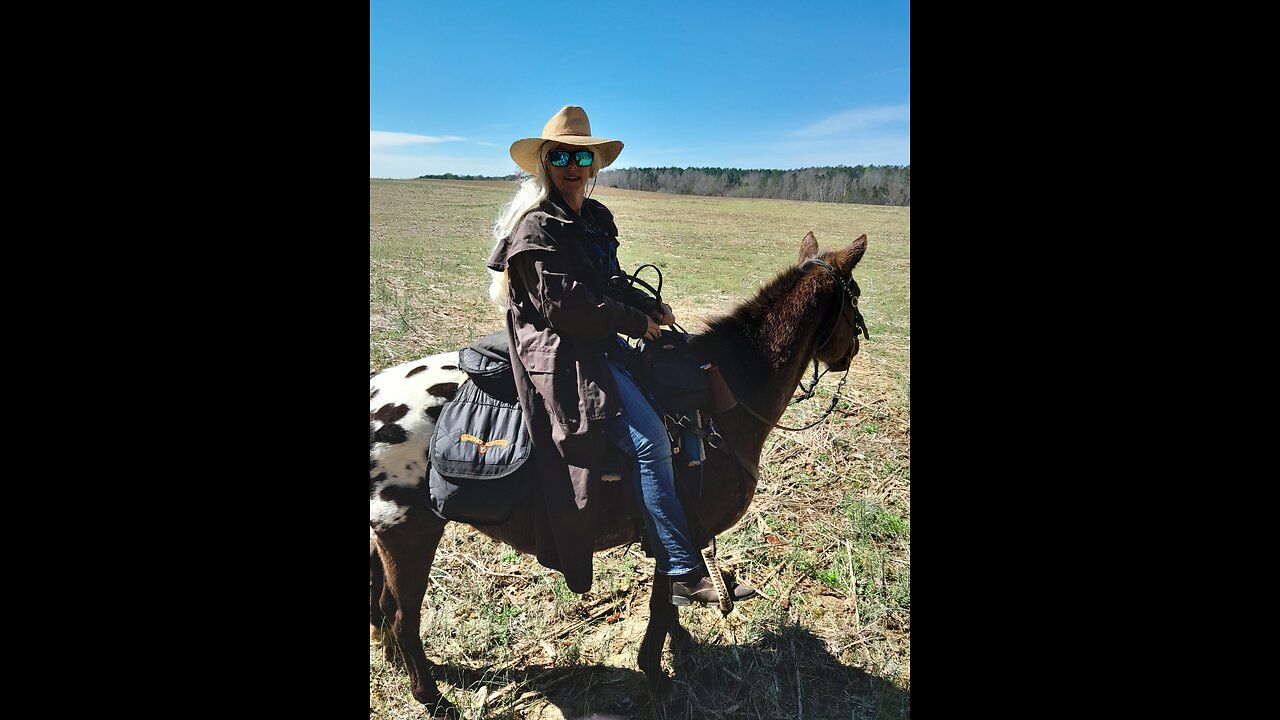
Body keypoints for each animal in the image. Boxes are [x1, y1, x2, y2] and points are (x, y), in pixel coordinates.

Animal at [371, 230, 870, 712]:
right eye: (855, 300)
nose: (852, 352)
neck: (723, 400)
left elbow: (669, 601)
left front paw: (681, 650)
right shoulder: (683, 527)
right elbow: (663, 605)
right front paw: (658, 677)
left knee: (384, 606)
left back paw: (399, 666)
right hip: (410, 535)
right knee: (402, 616)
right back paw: (431, 697)